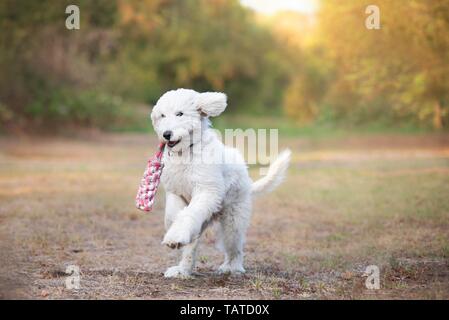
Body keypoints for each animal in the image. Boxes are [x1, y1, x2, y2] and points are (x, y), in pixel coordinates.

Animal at [150, 88, 290, 278]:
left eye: (180, 114)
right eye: (162, 115)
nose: (166, 134)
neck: (186, 153)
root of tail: (247, 181)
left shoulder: (206, 191)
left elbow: (188, 213)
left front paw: (176, 235)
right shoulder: (175, 192)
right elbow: (174, 214)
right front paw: (174, 233)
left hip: (233, 221)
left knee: (235, 248)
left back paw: (232, 267)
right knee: (191, 248)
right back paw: (182, 270)